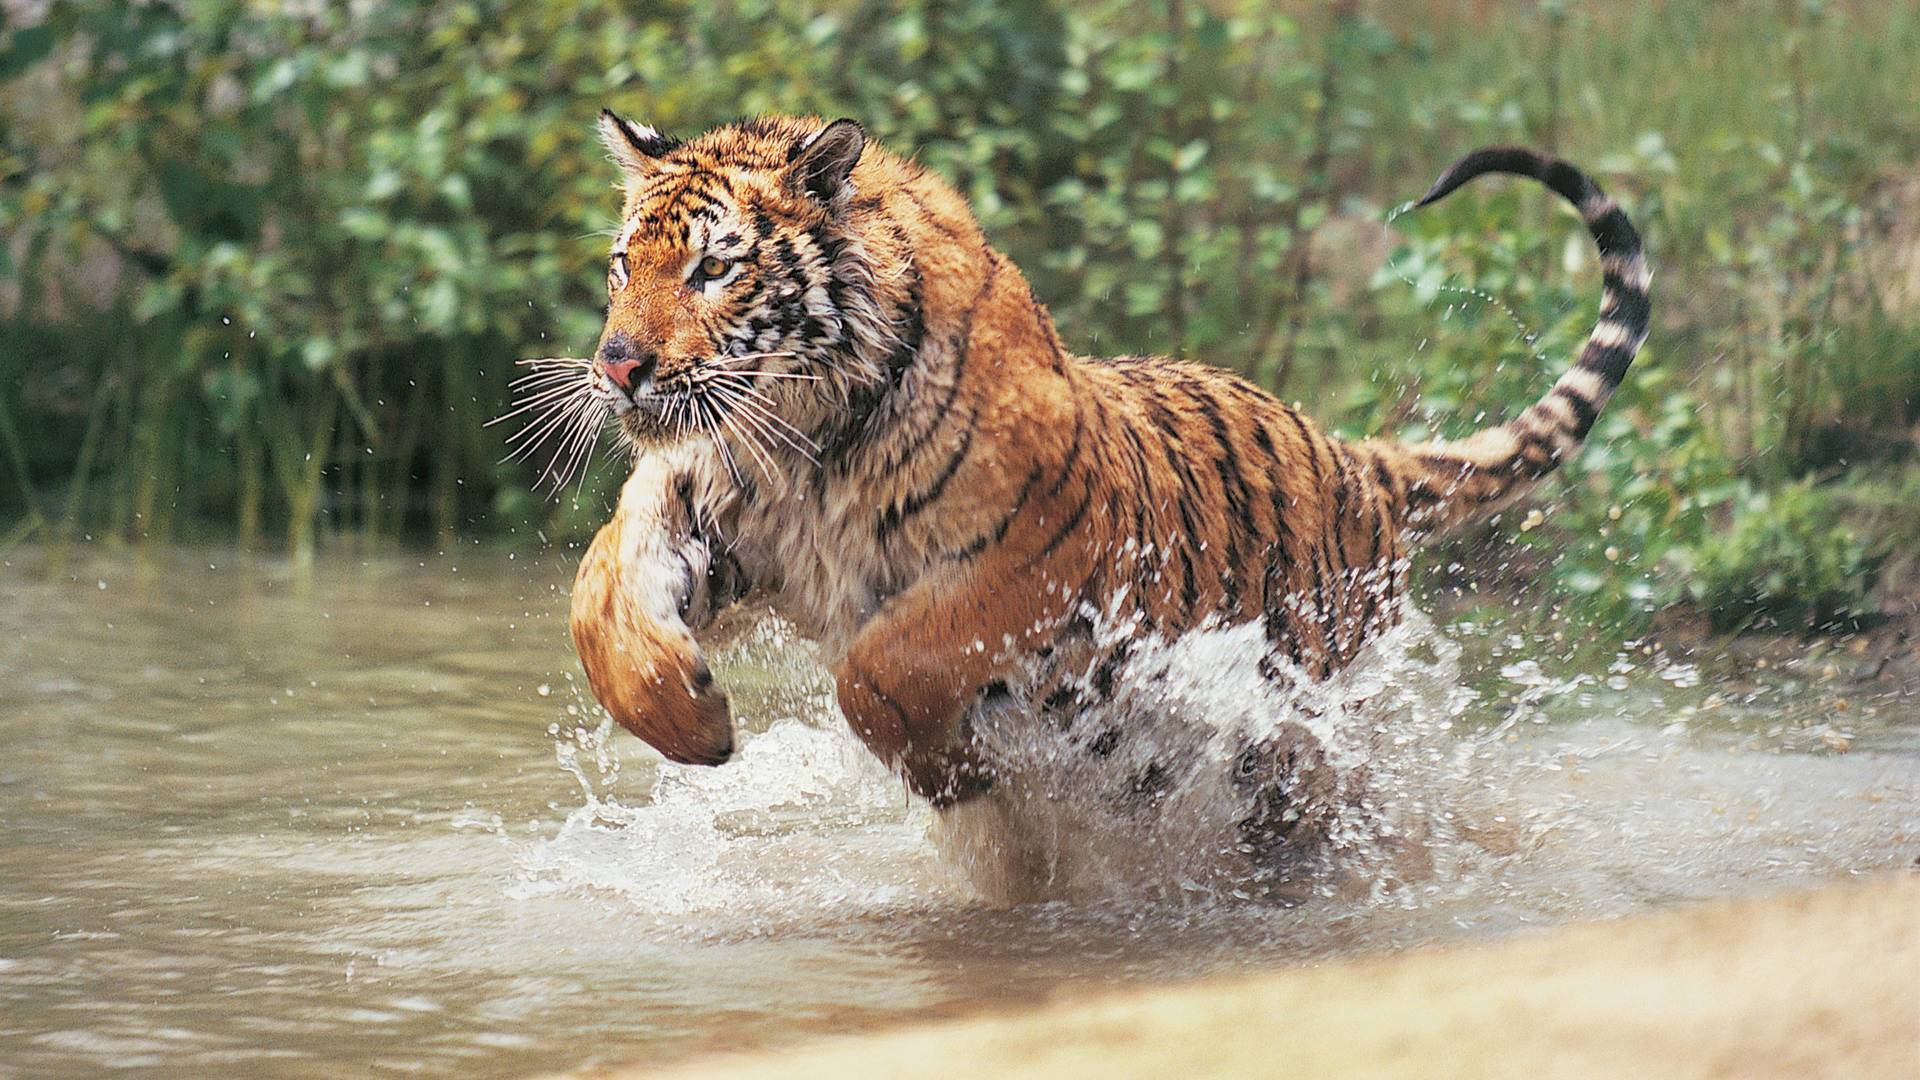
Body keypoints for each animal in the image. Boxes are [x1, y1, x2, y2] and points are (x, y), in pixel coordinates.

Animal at [545, 111, 1651, 849]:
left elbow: (883, 666)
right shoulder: (698, 500)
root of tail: (1354, 460)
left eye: (712, 270)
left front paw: (952, 773)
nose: (617, 366)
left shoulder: (1038, 553)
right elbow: (598, 598)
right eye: (623, 264)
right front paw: (691, 722)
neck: (804, 438)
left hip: (1302, 738)